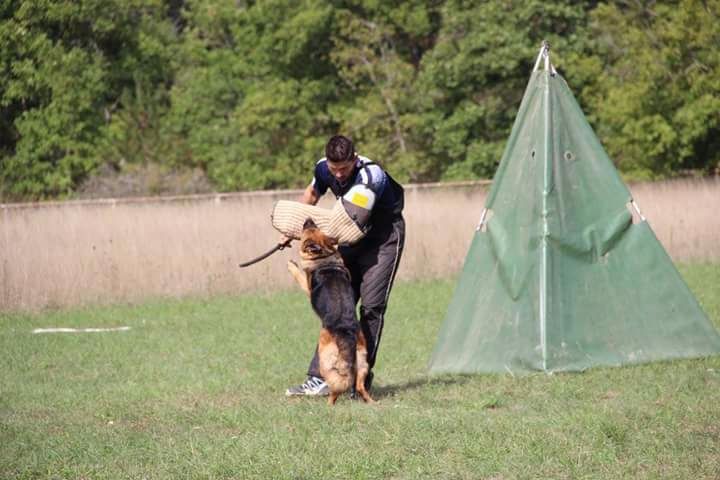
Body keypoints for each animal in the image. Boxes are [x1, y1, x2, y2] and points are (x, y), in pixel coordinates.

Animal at [286, 218, 374, 404]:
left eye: (307, 230)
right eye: (314, 226)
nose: (308, 219)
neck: (324, 256)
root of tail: (347, 334)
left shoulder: (307, 287)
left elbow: (298, 274)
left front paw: (292, 265)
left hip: (325, 360)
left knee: (336, 386)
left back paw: (329, 404)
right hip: (362, 361)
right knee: (360, 386)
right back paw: (371, 402)